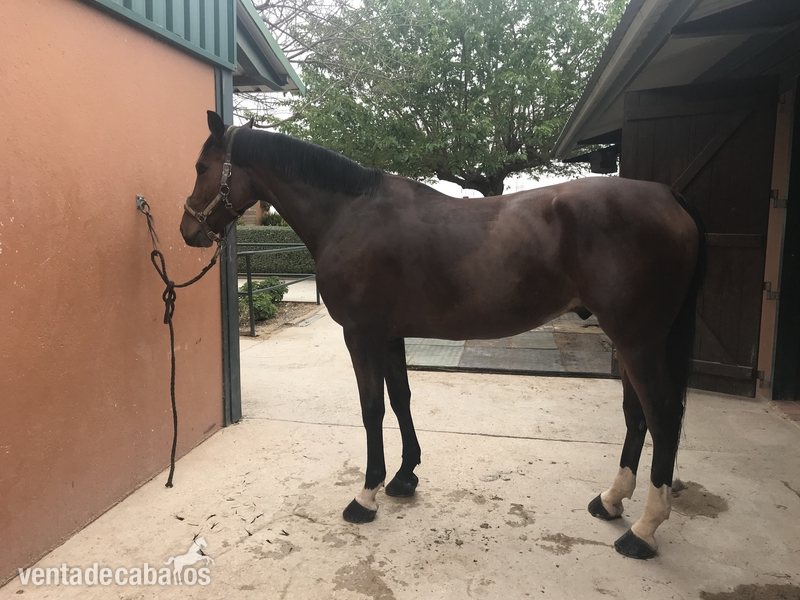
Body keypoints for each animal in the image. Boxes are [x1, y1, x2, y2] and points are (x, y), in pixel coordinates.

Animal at [180, 111, 707, 560]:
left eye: (202, 166)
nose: (188, 229)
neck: (348, 214)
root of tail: (668, 197)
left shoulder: (361, 334)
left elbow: (372, 410)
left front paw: (366, 495)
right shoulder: (390, 335)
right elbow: (401, 398)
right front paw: (404, 476)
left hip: (638, 340)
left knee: (660, 415)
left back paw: (642, 532)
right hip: (631, 341)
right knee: (637, 415)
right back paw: (611, 500)